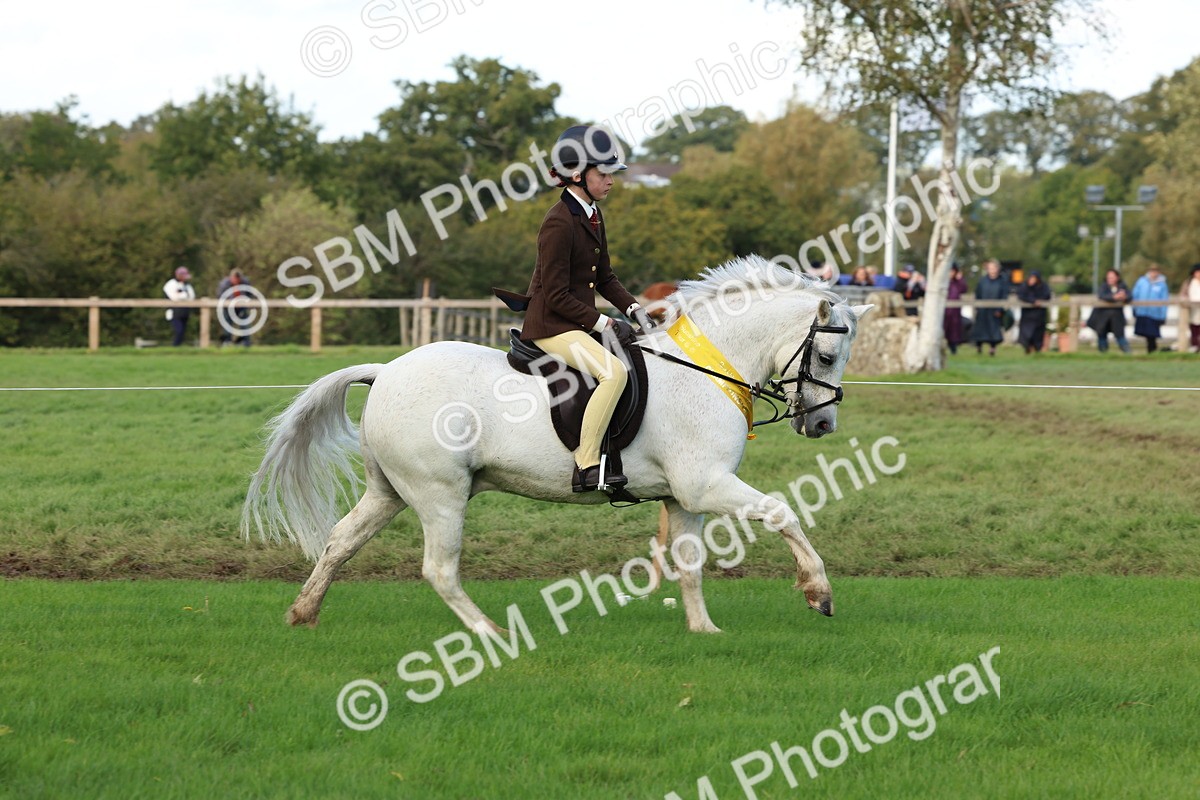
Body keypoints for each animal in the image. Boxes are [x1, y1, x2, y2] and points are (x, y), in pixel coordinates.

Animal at [242, 256, 873, 634]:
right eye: (824, 355)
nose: (821, 425)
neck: (704, 371)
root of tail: (386, 371)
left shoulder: (683, 497)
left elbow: (690, 564)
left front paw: (703, 630)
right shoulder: (707, 484)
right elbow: (783, 513)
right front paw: (818, 593)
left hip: (390, 491)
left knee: (341, 541)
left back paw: (302, 613)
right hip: (440, 494)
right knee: (439, 569)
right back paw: (489, 633)